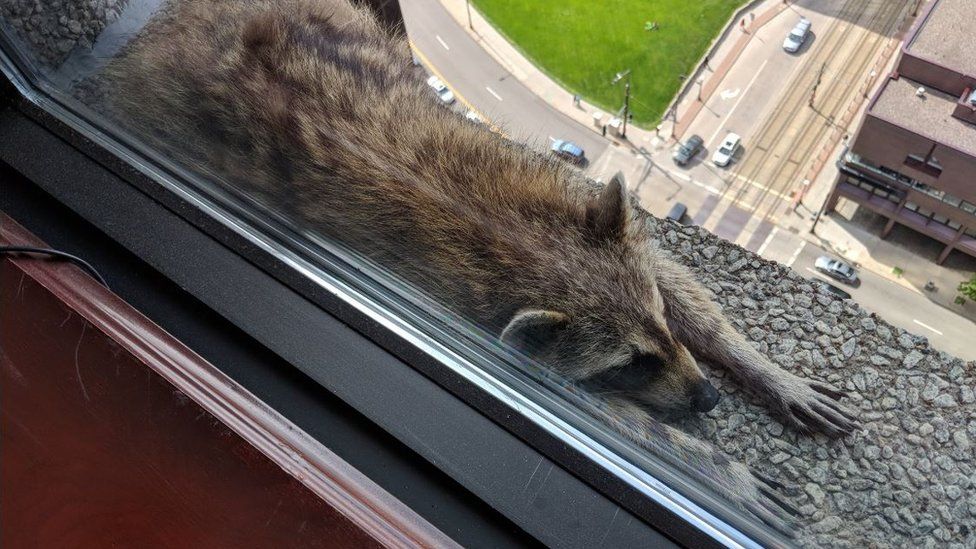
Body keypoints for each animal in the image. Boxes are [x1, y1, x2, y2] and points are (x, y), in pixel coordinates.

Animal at [103, 0, 856, 528]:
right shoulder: (458, 302)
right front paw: (703, 456)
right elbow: (574, 396)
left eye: (662, 326)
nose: (708, 400)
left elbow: (671, 274)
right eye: (629, 365)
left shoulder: (558, 189)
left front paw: (757, 363)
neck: (515, 241)